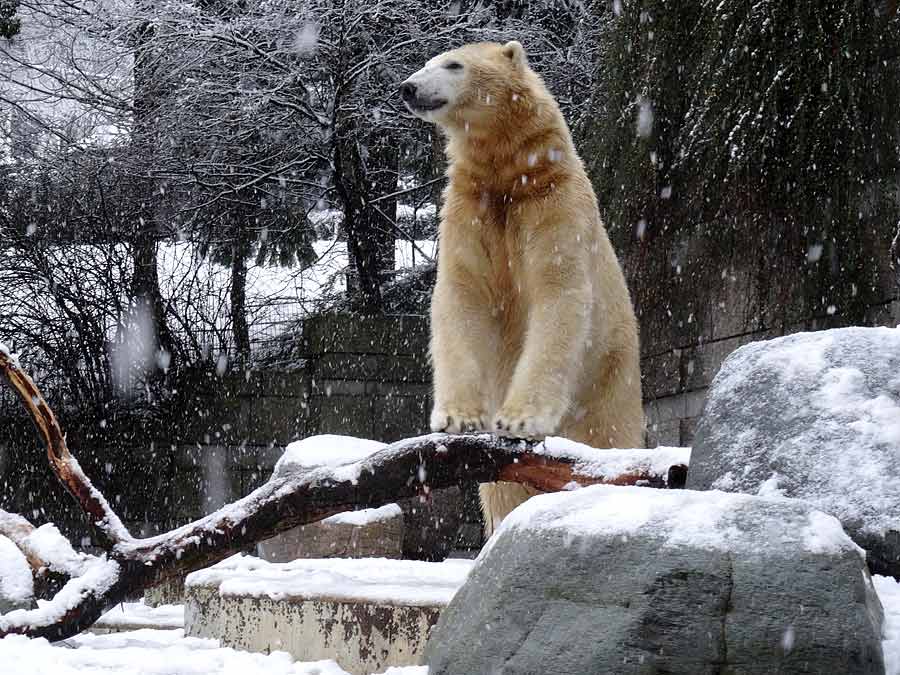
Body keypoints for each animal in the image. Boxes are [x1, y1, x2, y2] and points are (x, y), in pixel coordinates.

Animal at [400, 42, 640, 536]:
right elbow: (462, 295)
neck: (510, 173)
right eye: (429, 61)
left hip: (611, 376)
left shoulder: (553, 204)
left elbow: (559, 297)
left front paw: (521, 419)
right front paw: (458, 416)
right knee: (502, 490)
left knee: (610, 432)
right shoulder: (470, 207)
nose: (408, 87)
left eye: (454, 64)